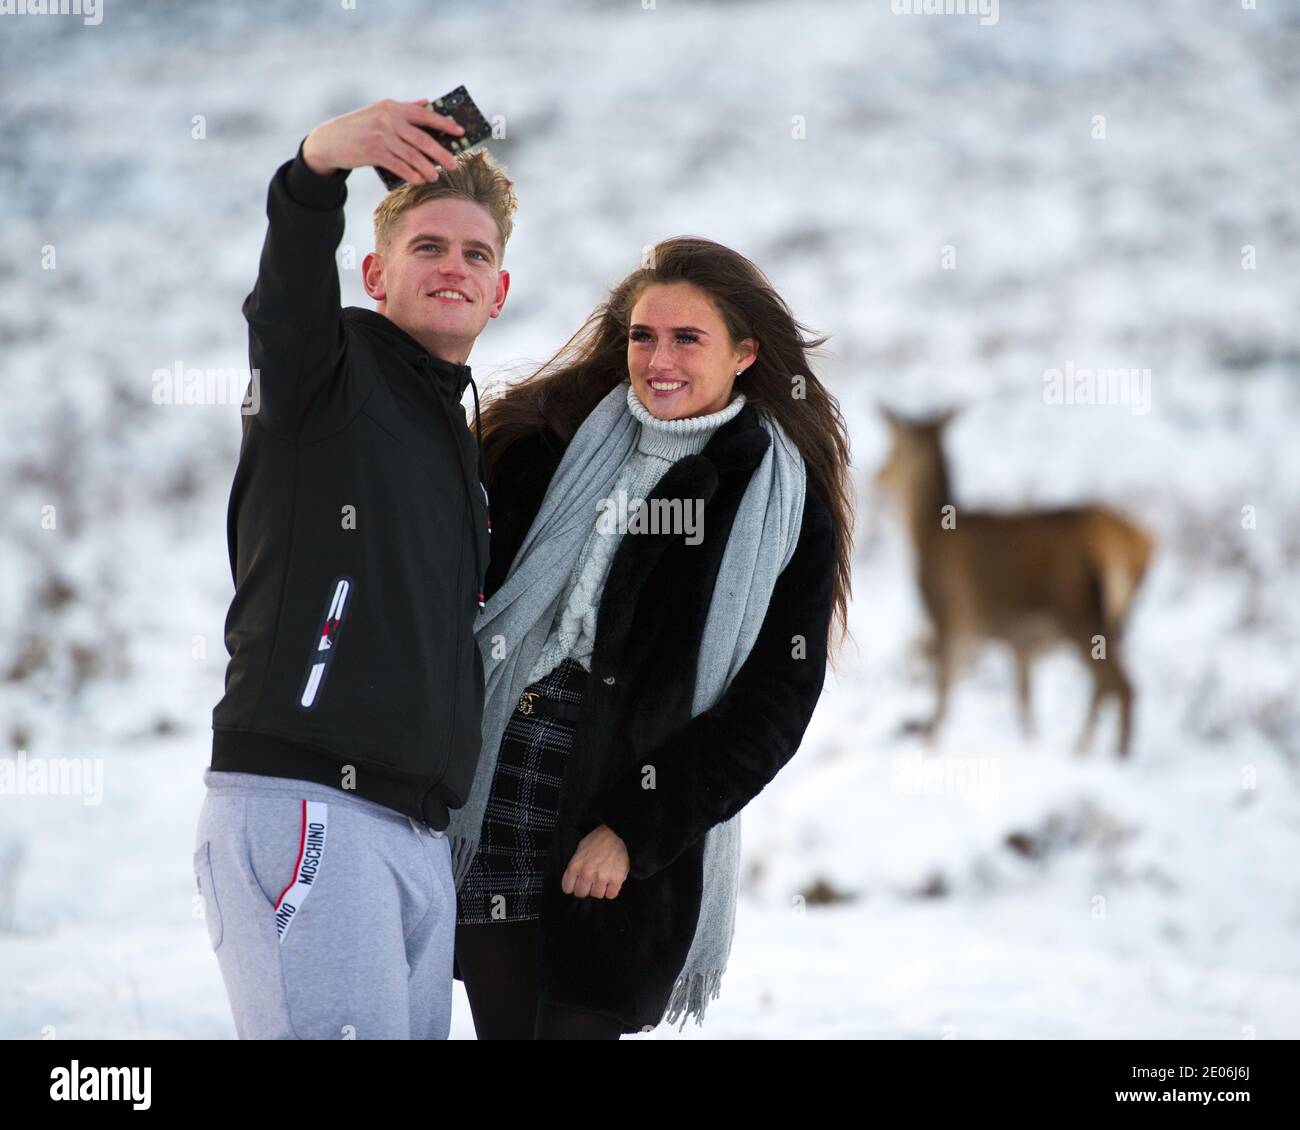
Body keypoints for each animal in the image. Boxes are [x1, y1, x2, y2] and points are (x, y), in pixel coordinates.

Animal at [878, 405, 1154, 759]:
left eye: (892, 449)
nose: (878, 476)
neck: (924, 536)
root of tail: (1139, 542)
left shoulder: (952, 616)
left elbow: (945, 688)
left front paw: (928, 745)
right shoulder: (1016, 642)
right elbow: (1024, 701)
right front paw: (1029, 741)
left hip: (1078, 612)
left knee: (1121, 685)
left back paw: (1110, 754)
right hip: (1118, 619)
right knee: (1107, 685)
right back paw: (1087, 747)